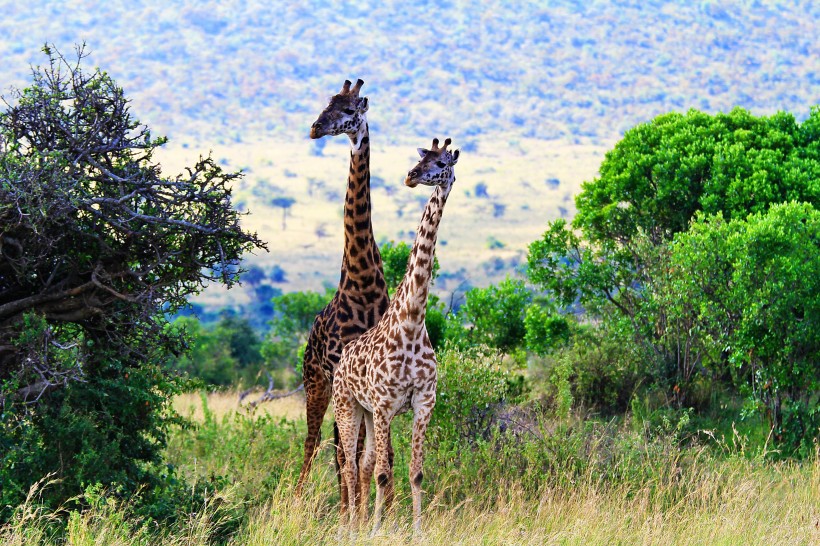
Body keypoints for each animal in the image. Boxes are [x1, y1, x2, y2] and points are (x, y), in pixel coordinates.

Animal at [334, 136, 462, 532]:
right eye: (423, 158)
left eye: (442, 163)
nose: (410, 176)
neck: (411, 322)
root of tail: (341, 360)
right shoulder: (385, 403)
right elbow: (383, 473)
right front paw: (377, 530)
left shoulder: (423, 402)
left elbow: (415, 472)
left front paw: (418, 529)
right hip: (348, 405)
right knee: (349, 464)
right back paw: (351, 527)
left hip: (367, 412)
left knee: (361, 464)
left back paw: (358, 523)